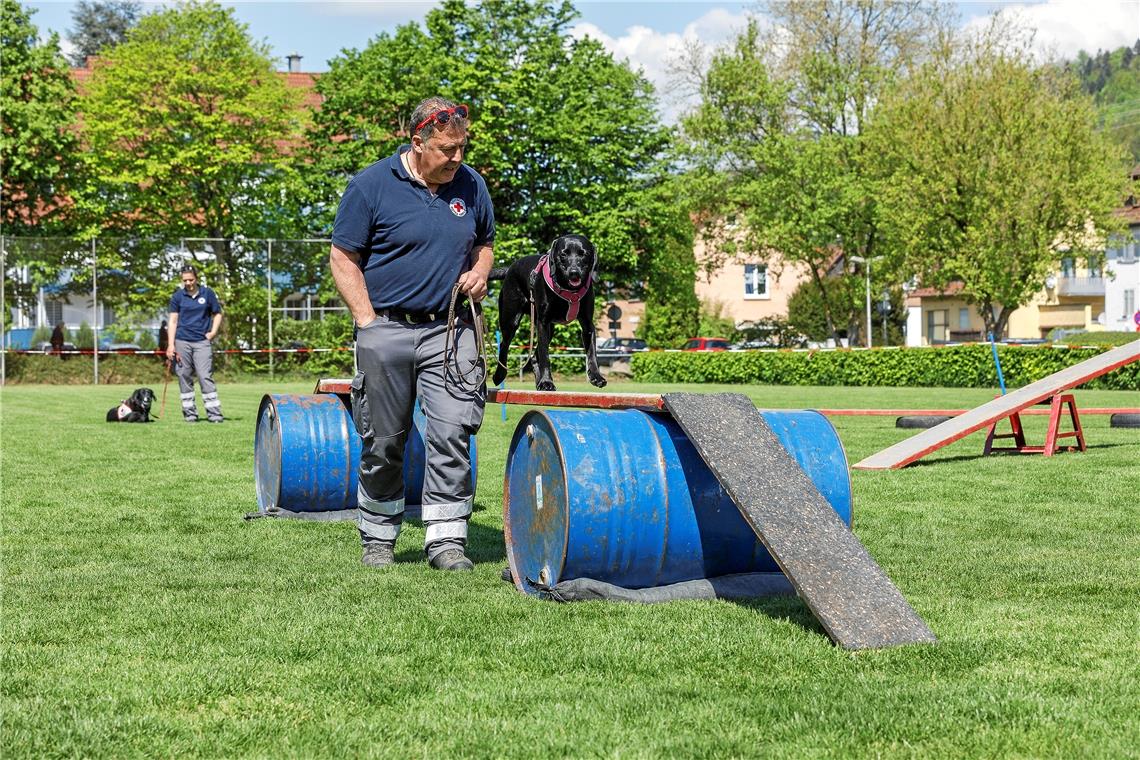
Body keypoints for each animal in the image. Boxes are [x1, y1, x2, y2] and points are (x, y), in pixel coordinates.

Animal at [487, 234, 606, 391]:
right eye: (563, 254)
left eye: (583, 254)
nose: (574, 273)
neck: (569, 291)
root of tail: (511, 268)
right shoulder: (542, 323)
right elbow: (545, 356)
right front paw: (546, 381)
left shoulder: (587, 324)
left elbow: (592, 353)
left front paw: (596, 377)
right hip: (510, 320)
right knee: (505, 345)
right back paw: (499, 375)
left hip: (550, 329)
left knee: (534, 357)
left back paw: (539, 383)